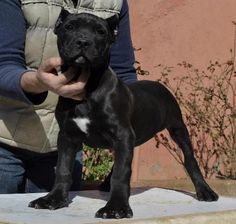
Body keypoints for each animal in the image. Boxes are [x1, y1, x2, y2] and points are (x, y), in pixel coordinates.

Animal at [28, 10, 218, 219]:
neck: (89, 86)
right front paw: (53, 199)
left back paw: (205, 191)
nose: (83, 41)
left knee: (190, 159)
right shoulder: (67, 136)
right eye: (69, 27)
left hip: (178, 128)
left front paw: (116, 207)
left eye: (100, 32)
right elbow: (63, 169)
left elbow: (121, 173)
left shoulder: (122, 134)